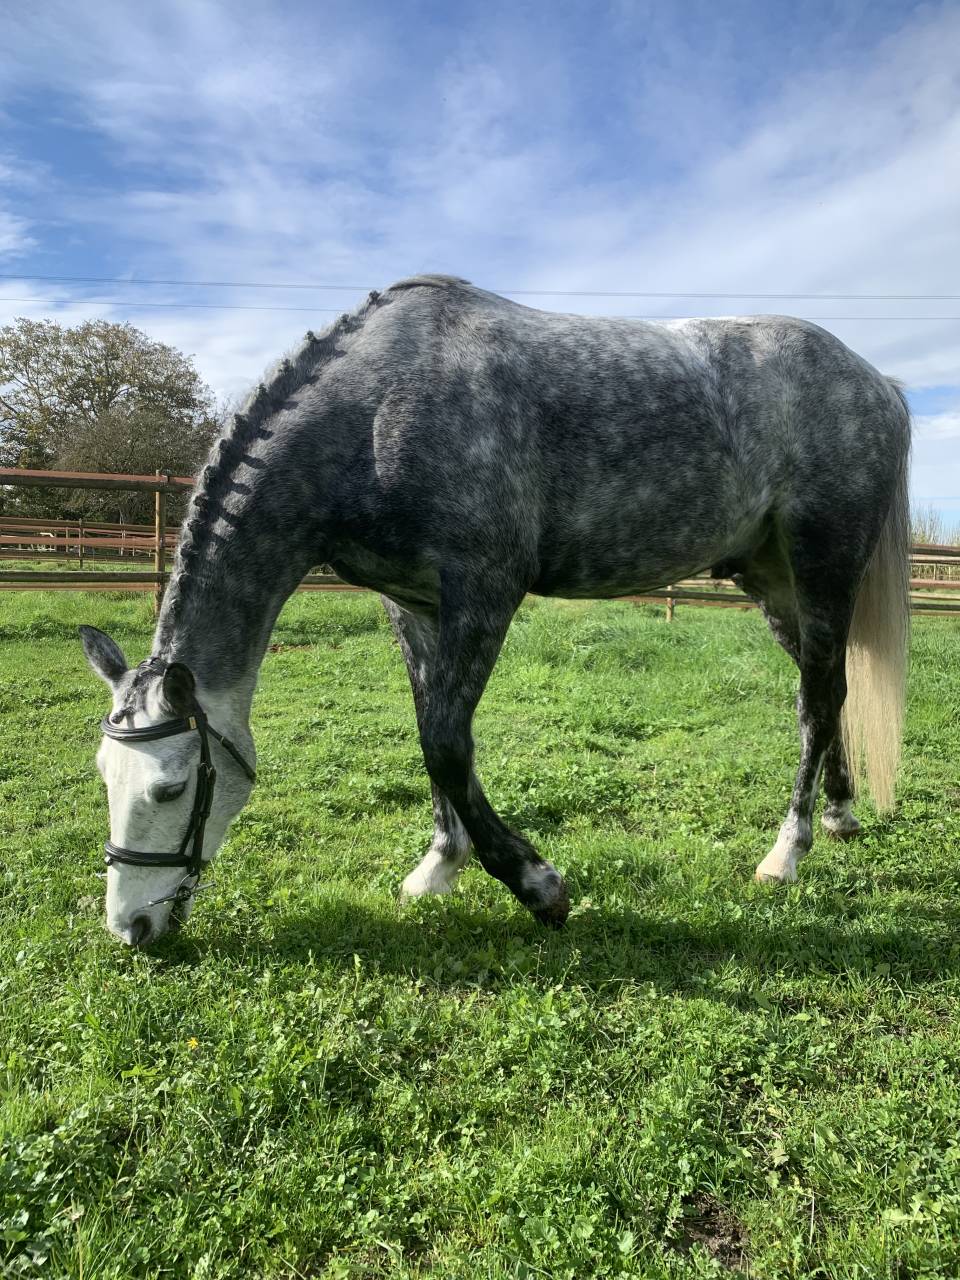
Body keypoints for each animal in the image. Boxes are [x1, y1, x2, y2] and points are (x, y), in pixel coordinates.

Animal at [79, 275, 910, 947]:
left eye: (170, 788)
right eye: (104, 776)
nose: (132, 928)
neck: (374, 414)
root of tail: (879, 384)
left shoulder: (484, 591)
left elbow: (447, 744)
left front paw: (538, 887)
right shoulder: (412, 606)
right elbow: (431, 735)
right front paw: (439, 868)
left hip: (824, 568)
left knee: (816, 702)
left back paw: (787, 853)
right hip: (772, 581)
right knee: (827, 687)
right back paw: (839, 816)